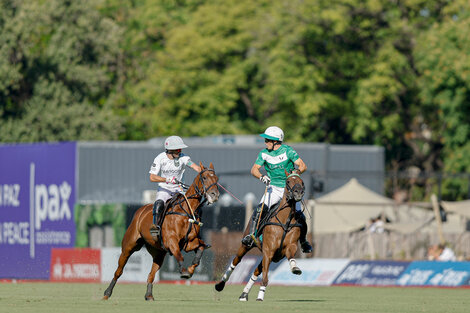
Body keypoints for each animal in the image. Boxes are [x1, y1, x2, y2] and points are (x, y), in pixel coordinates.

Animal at [102, 162, 218, 298]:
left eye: (216, 179)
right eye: (204, 178)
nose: (215, 195)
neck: (187, 211)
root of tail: (140, 211)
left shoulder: (189, 242)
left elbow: (201, 247)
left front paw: (190, 269)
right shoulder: (171, 240)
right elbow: (179, 255)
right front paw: (184, 271)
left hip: (158, 252)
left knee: (151, 274)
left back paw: (149, 295)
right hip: (128, 246)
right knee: (119, 271)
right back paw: (107, 293)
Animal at [216, 171, 304, 300]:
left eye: (301, 182)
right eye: (288, 181)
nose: (298, 192)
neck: (285, 221)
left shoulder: (287, 248)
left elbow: (290, 256)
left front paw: (295, 268)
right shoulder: (268, 250)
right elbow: (265, 277)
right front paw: (260, 296)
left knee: (256, 271)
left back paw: (244, 294)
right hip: (246, 245)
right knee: (236, 261)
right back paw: (220, 284)